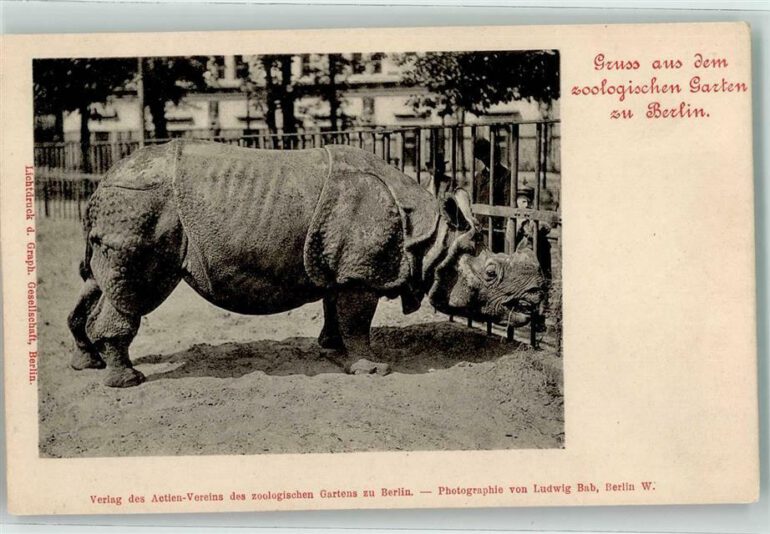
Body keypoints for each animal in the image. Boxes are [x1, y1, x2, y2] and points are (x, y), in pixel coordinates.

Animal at [67, 140, 545, 387]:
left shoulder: (342, 268)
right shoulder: (360, 272)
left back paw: (86, 364)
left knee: (97, 283)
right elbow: (358, 320)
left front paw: (331, 350)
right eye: (491, 273)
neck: (431, 239)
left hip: (125, 205)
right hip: (143, 203)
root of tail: (104, 179)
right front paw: (373, 369)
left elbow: (337, 310)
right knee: (132, 293)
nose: (536, 298)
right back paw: (126, 380)